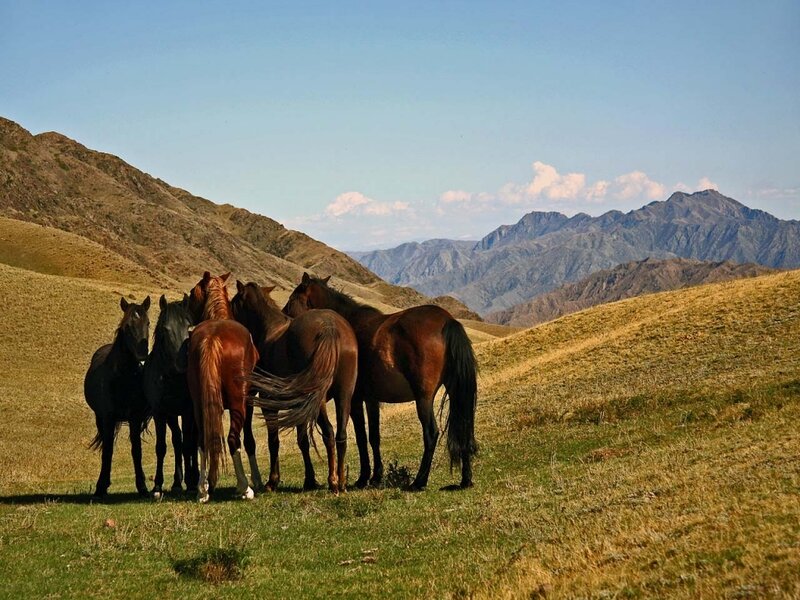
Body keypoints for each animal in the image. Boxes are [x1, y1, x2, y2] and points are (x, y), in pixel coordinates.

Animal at [84, 296, 152, 498]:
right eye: (127, 326)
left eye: (148, 322)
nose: (142, 353)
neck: (123, 377)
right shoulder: (108, 417)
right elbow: (107, 451)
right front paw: (101, 487)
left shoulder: (135, 417)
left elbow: (136, 450)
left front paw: (142, 486)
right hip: (100, 418)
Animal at [143, 294, 198, 499]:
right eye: (166, 330)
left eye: (189, 327)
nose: (184, 364)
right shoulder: (160, 413)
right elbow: (162, 447)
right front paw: (158, 486)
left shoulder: (188, 411)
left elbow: (189, 444)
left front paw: (191, 483)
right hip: (172, 416)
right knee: (177, 440)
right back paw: (176, 482)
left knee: (192, 441)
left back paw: (193, 477)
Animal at [186, 271, 263, 502]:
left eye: (192, 292)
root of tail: (212, 338)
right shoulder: (249, 401)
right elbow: (249, 440)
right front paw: (256, 479)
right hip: (238, 403)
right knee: (232, 439)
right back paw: (245, 487)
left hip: (199, 404)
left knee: (203, 440)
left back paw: (203, 490)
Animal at [231, 280, 358, 494]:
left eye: (233, 303)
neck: (269, 330)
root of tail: (329, 326)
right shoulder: (299, 406)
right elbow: (303, 441)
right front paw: (310, 480)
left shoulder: (269, 404)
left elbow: (274, 441)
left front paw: (272, 481)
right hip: (344, 395)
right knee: (340, 434)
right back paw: (341, 482)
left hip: (318, 400)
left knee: (329, 433)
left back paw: (333, 482)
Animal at [284, 273, 478, 490]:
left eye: (291, 299)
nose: (283, 319)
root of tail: (447, 321)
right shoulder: (372, 399)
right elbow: (374, 437)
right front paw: (376, 476)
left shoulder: (355, 399)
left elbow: (361, 437)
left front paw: (363, 478)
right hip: (455, 392)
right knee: (463, 427)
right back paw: (465, 479)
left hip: (424, 398)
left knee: (431, 433)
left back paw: (419, 481)